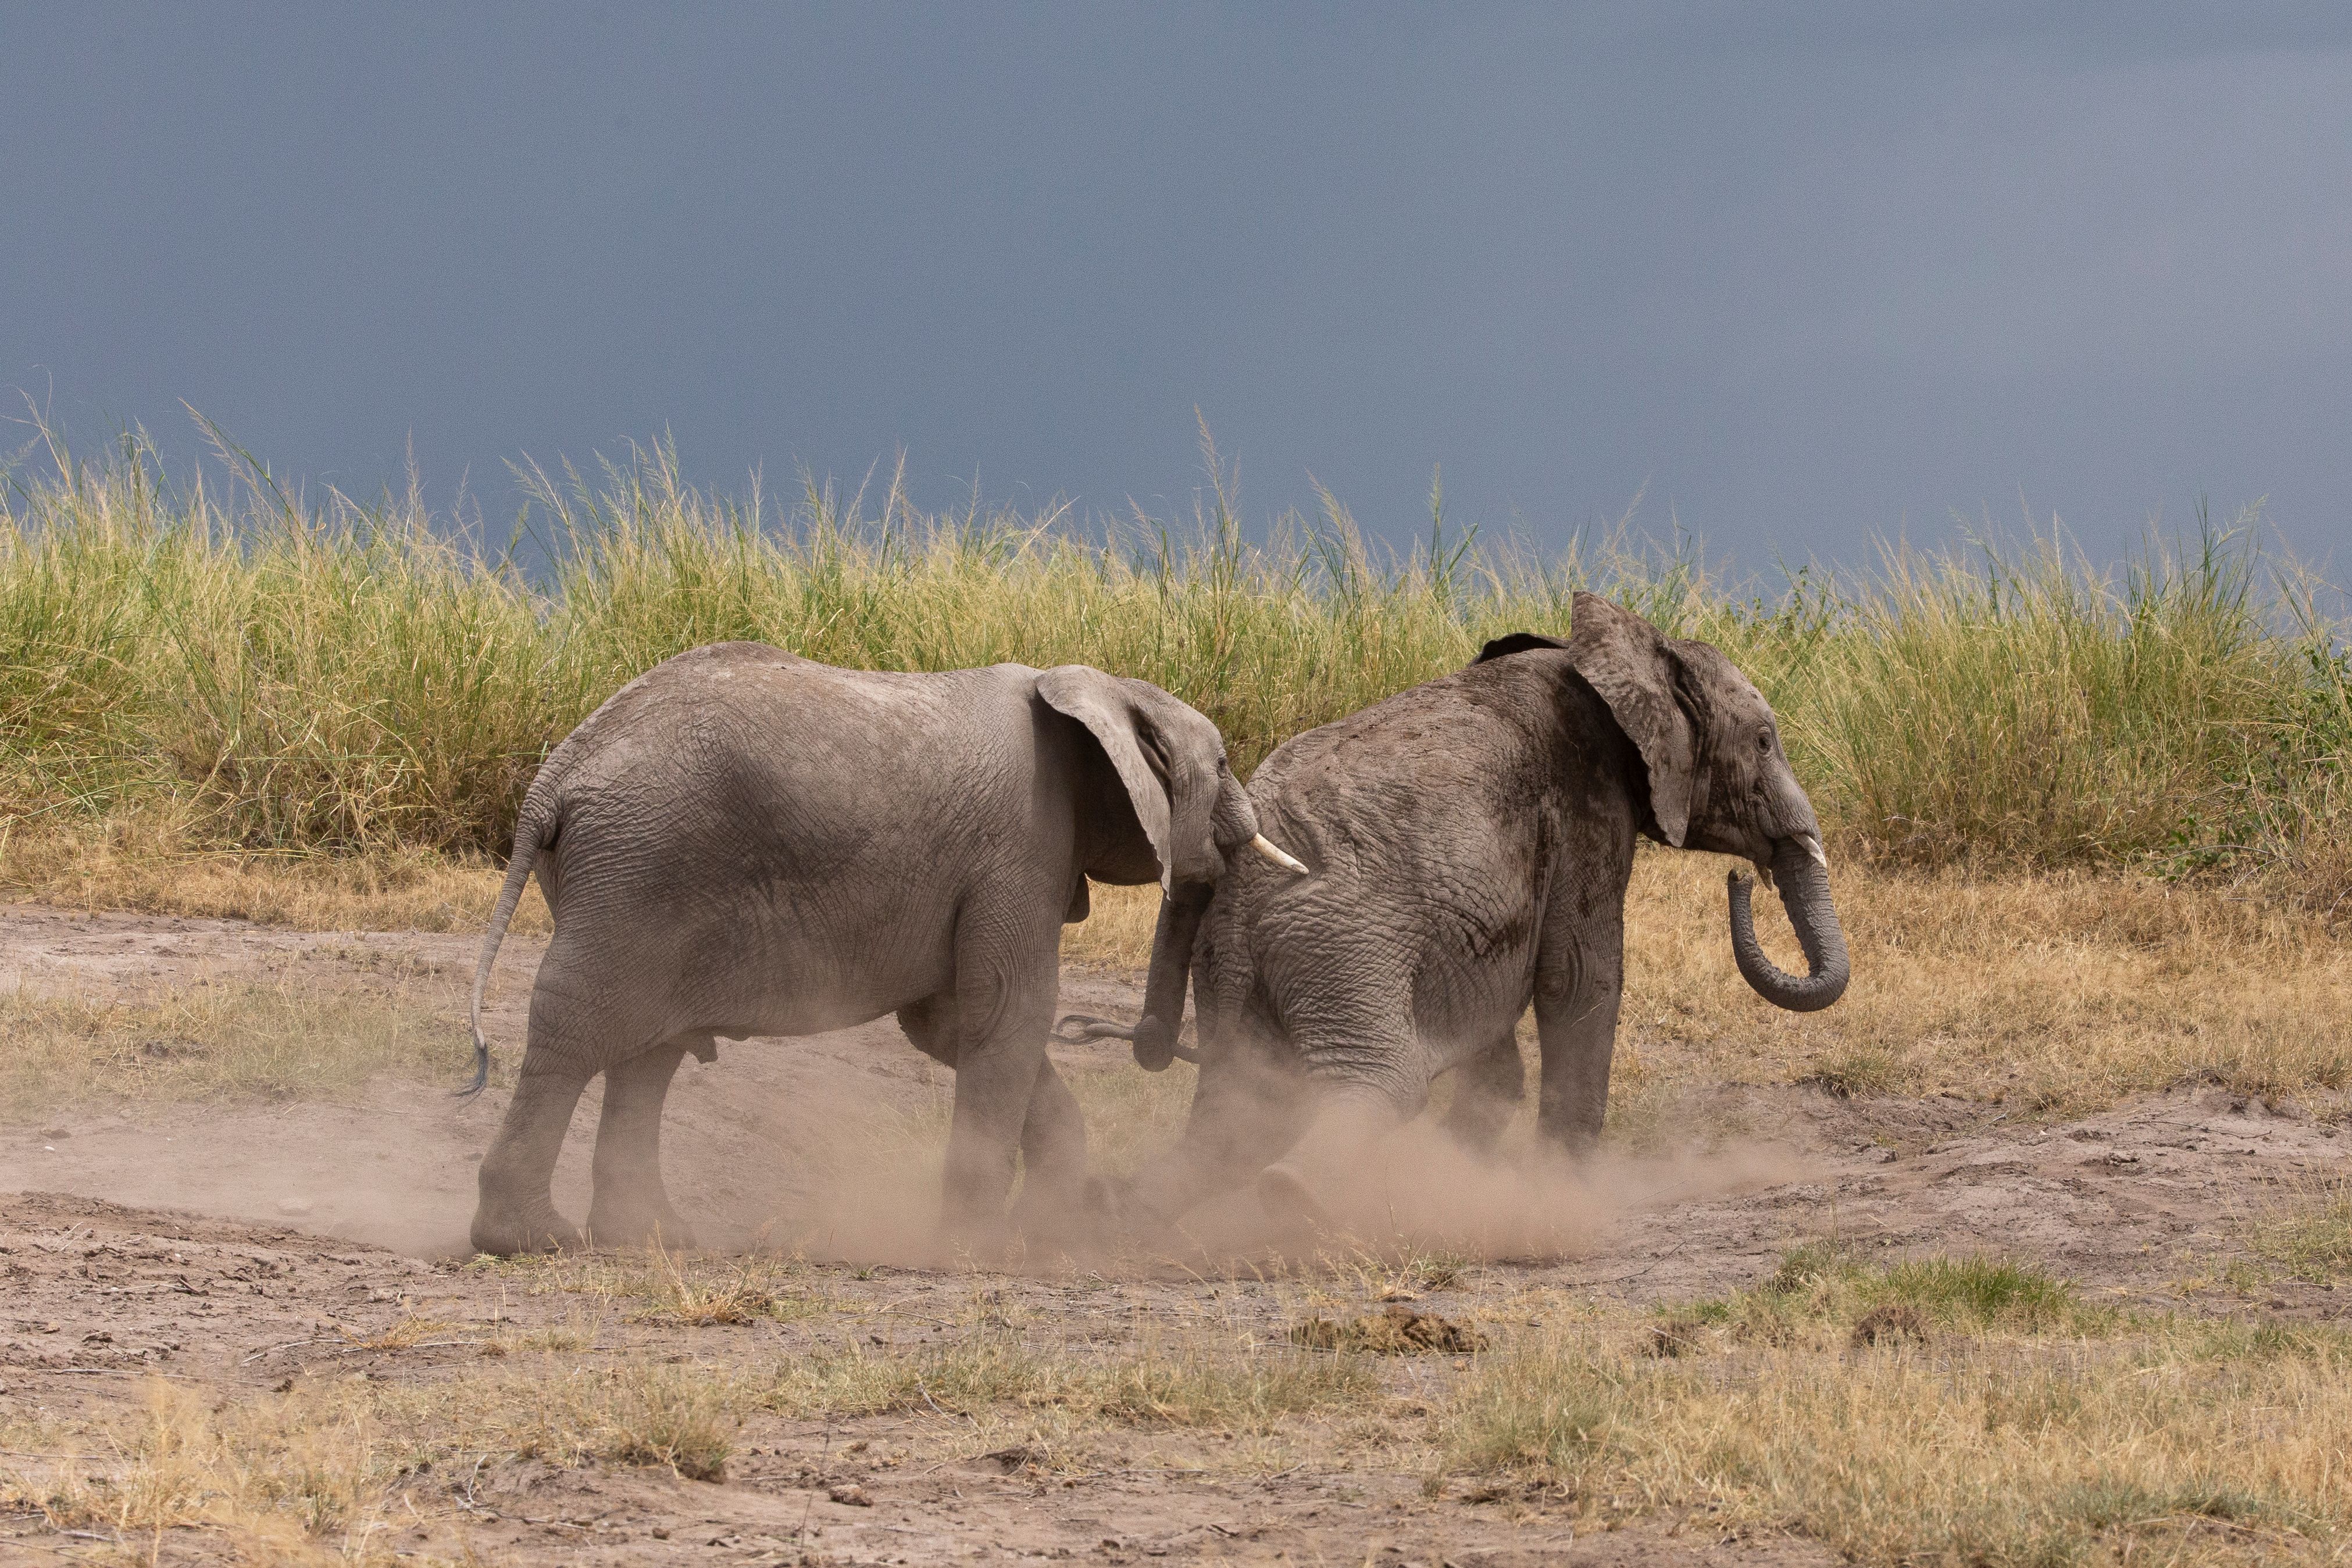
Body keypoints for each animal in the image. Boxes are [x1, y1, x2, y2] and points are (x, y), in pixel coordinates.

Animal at [460, 641, 1305, 1255]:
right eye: (1221, 765)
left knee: (649, 1054)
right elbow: (1007, 1010)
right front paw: (981, 1248)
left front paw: (1053, 1226)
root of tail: (556, 778)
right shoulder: (1022, 844)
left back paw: (652, 1240)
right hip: (638, 868)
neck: (1091, 687)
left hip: (635, 876)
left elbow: (951, 1025)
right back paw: (529, 1240)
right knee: (579, 1031)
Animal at [1080, 592, 1849, 1230]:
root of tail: (1238, 884)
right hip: (1343, 944)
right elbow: (1581, 980)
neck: (1613, 647)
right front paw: (1563, 1195)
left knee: (1234, 1110)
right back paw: (1294, 1201)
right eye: (1764, 741)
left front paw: (1470, 1171)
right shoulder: (1589, 806)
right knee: (1380, 1082)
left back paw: (1122, 1208)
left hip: (1230, 961)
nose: (1740, 881)